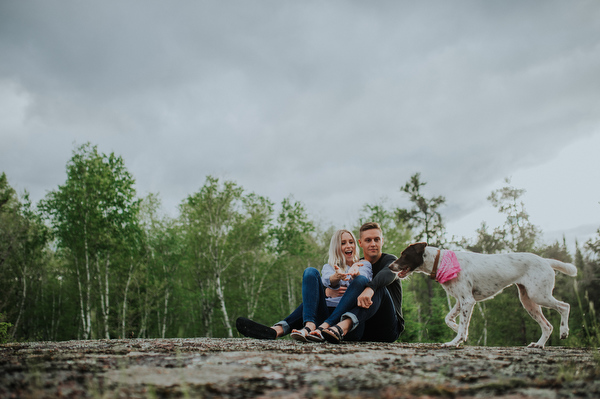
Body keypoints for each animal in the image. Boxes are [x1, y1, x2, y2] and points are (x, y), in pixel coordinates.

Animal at [390, 242, 576, 348]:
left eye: (404, 255)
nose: (391, 266)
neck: (441, 261)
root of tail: (545, 261)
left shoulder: (467, 301)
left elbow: (462, 324)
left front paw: (454, 342)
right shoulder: (460, 301)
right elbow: (449, 319)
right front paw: (460, 332)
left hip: (539, 295)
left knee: (565, 306)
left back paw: (564, 331)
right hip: (528, 301)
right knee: (547, 326)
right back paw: (538, 345)